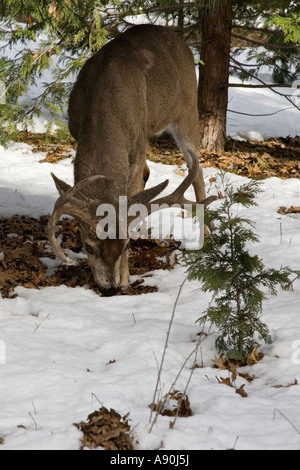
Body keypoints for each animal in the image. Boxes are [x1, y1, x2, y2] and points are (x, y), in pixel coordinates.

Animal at [47, 23, 213, 296]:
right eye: (88, 246)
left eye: (125, 246)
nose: (110, 289)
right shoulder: (75, 130)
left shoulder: (137, 141)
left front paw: (125, 277)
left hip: (186, 110)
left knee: (196, 168)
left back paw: (206, 235)